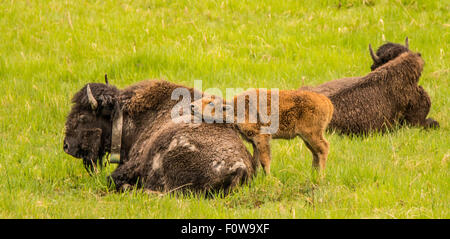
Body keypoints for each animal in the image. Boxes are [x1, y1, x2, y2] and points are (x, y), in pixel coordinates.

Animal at [190, 88, 334, 175]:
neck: (237, 108)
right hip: (306, 138)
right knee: (315, 153)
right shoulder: (254, 142)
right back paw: (314, 173)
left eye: (211, 103)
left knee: (324, 148)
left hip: (312, 134)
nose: (192, 106)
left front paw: (268, 178)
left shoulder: (262, 137)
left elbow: (265, 159)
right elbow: (256, 160)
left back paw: (321, 175)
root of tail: (326, 101)